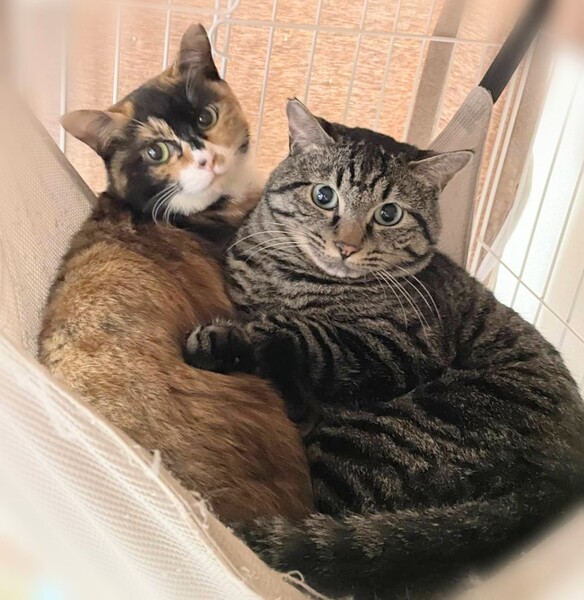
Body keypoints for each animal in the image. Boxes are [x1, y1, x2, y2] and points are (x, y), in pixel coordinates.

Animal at [185, 99, 584, 598]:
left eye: (389, 214)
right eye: (324, 196)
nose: (346, 246)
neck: (293, 282)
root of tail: (559, 484)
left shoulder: (397, 346)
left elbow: (303, 332)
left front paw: (233, 339)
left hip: (391, 431)